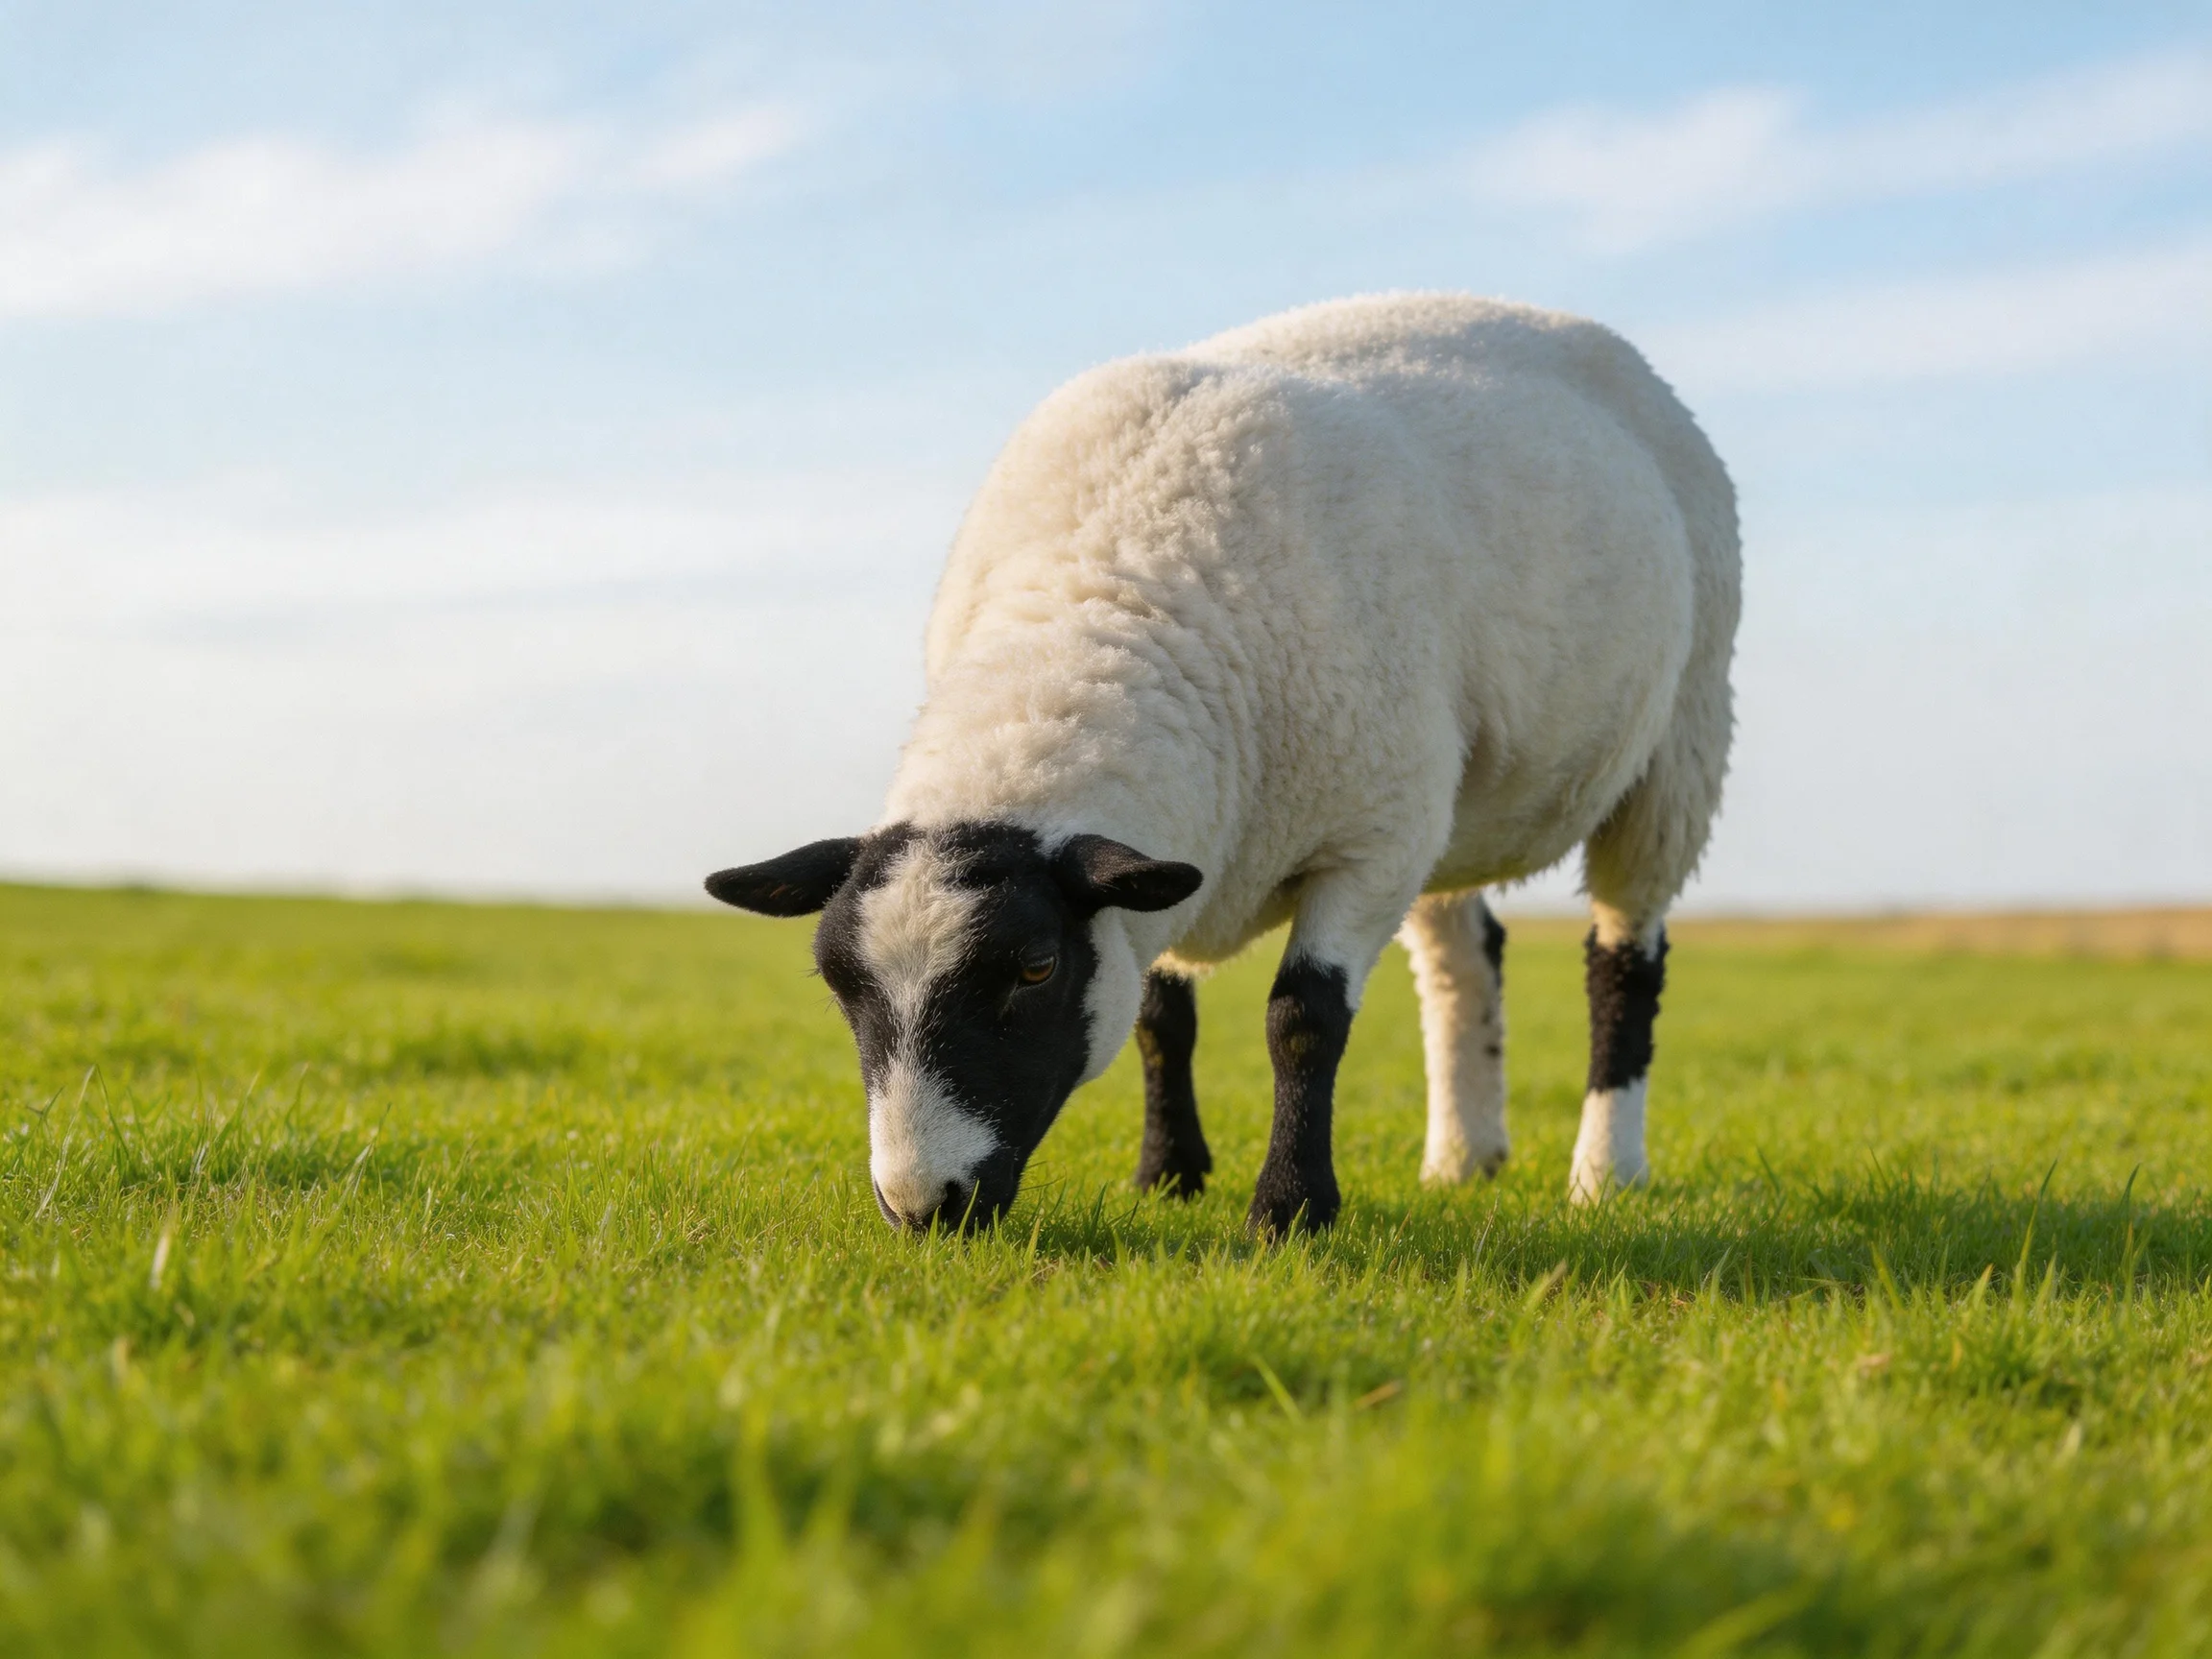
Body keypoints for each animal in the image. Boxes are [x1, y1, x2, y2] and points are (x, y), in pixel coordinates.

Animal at [707, 292, 1739, 1234]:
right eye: (837, 981)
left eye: (1036, 969)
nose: (924, 1207)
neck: (1106, 593)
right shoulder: (1172, 863)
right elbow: (1161, 1020)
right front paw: (1166, 1175)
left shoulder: (1367, 841)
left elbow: (1303, 1020)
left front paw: (1290, 1211)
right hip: (1450, 794)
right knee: (1462, 958)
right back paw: (1464, 1158)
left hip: (1680, 742)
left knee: (1624, 961)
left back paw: (1605, 1170)